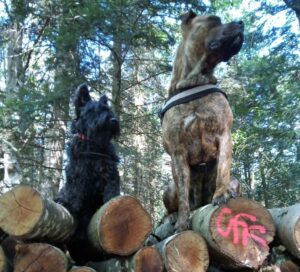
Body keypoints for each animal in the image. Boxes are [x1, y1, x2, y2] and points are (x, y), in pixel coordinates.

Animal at [162, 11, 244, 232]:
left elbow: (223, 169)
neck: (194, 82)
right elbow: (183, 197)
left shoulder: (224, 134)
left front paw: (222, 193)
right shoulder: (178, 152)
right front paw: (182, 222)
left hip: (236, 180)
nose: (241, 22)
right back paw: (172, 216)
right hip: (168, 188)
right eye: (214, 20)